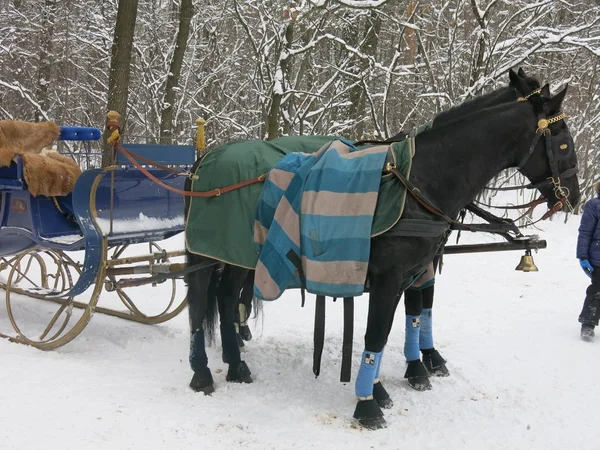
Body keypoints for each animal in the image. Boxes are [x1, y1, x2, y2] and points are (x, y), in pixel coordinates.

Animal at [186, 74, 576, 428]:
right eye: (563, 142)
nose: (573, 193)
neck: (420, 181)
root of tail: (208, 156)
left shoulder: (414, 270)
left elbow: (408, 318)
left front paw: (399, 377)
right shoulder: (391, 278)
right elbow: (380, 331)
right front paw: (371, 402)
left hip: (235, 255)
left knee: (225, 297)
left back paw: (236, 363)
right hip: (205, 255)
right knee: (199, 304)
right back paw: (202, 371)